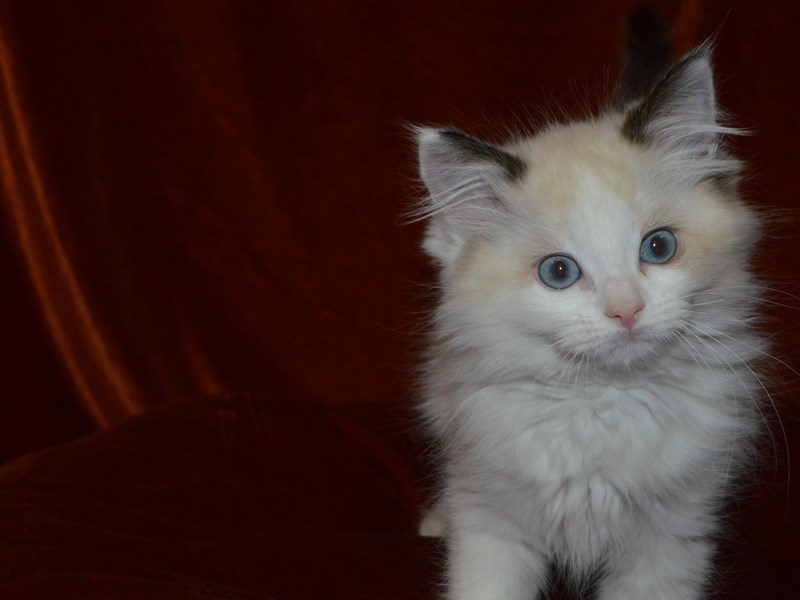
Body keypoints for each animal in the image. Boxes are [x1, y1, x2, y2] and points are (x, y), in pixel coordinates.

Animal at [416, 25, 764, 600]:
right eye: (559, 272)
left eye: (658, 247)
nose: (627, 311)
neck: (603, 404)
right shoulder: (493, 529)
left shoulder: (669, 541)